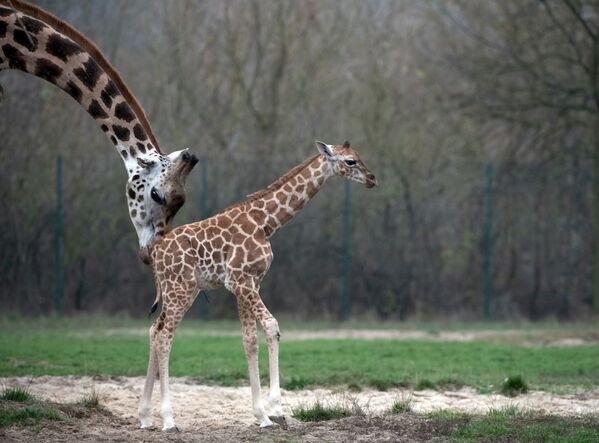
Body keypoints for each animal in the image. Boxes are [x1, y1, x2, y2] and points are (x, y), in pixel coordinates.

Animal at [138, 140, 378, 432]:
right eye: (350, 161)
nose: (372, 178)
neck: (266, 222)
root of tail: (156, 253)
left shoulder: (251, 281)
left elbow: (250, 340)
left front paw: (262, 415)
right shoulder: (239, 280)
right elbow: (272, 327)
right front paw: (277, 411)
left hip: (183, 290)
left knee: (154, 329)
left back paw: (145, 416)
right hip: (180, 289)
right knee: (164, 337)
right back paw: (169, 420)